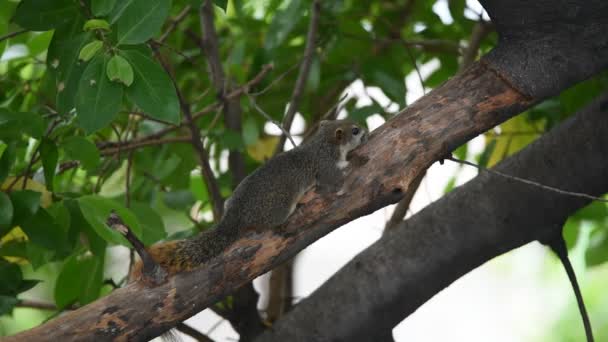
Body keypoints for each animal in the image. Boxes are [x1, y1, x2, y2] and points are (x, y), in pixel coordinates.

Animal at [133, 119, 368, 280]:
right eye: (354, 130)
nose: (365, 133)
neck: (323, 143)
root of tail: (234, 216)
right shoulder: (325, 166)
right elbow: (335, 180)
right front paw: (354, 161)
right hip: (279, 206)